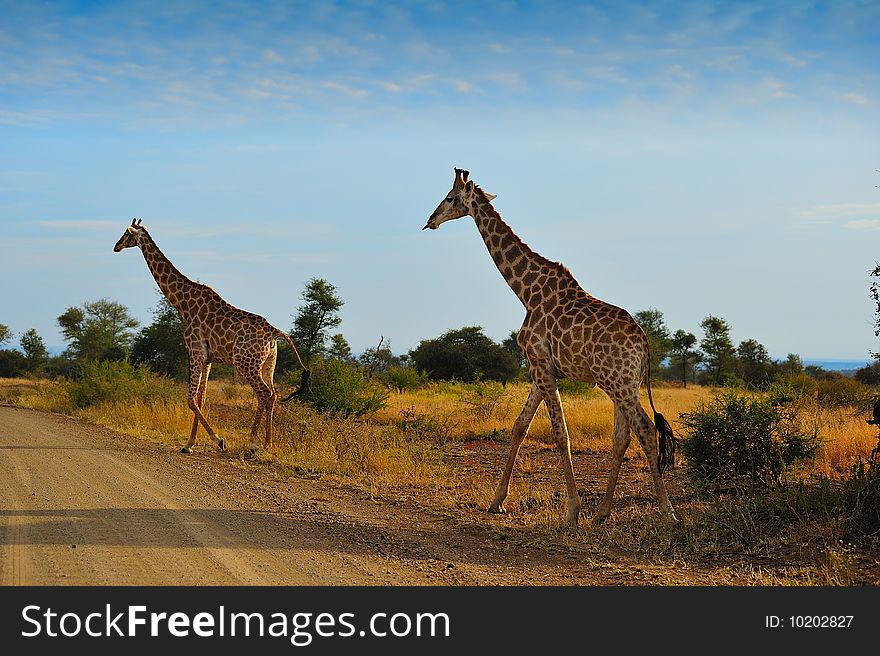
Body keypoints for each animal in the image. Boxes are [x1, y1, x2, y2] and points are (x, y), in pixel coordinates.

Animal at [112, 220, 310, 456]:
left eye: (126, 234)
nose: (115, 247)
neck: (183, 305)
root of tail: (274, 332)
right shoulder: (207, 358)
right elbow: (201, 398)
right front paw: (189, 444)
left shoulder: (195, 351)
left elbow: (190, 399)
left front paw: (219, 440)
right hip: (268, 363)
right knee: (273, 394)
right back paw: (267, 444)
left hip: (246, 363)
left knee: (263, 394)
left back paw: (252, 445)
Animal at [422, 169, 676, 528]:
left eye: (450, 197)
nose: (430, 220)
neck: (526, 291)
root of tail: (644, 345)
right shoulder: (538, 369)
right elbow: (519, 427)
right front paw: (496, 501)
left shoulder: (542, 366)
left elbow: (560, 434)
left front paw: (572, 511)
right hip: (623, 384)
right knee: (622, 437)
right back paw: (602, 513)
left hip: (620, 384)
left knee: (646, 431)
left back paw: (668, 513)